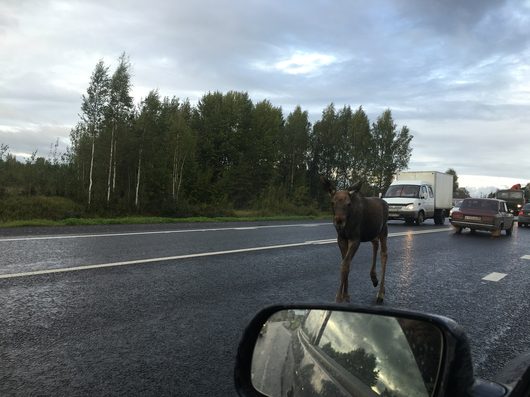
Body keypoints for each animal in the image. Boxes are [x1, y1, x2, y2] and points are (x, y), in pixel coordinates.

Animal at [318, 176, 388, 304]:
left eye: (348, 203)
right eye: (332, 202)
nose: (339, 221)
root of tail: (385, 203)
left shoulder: (355, 239)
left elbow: (345, 264)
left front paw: (339, 297)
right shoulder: (341, 238)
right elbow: (346, 263)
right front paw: (346, 295)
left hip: (383, 229)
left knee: (384, 253)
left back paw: (380, 294)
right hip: (371, 233)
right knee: (375, 244)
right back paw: (374, 278)